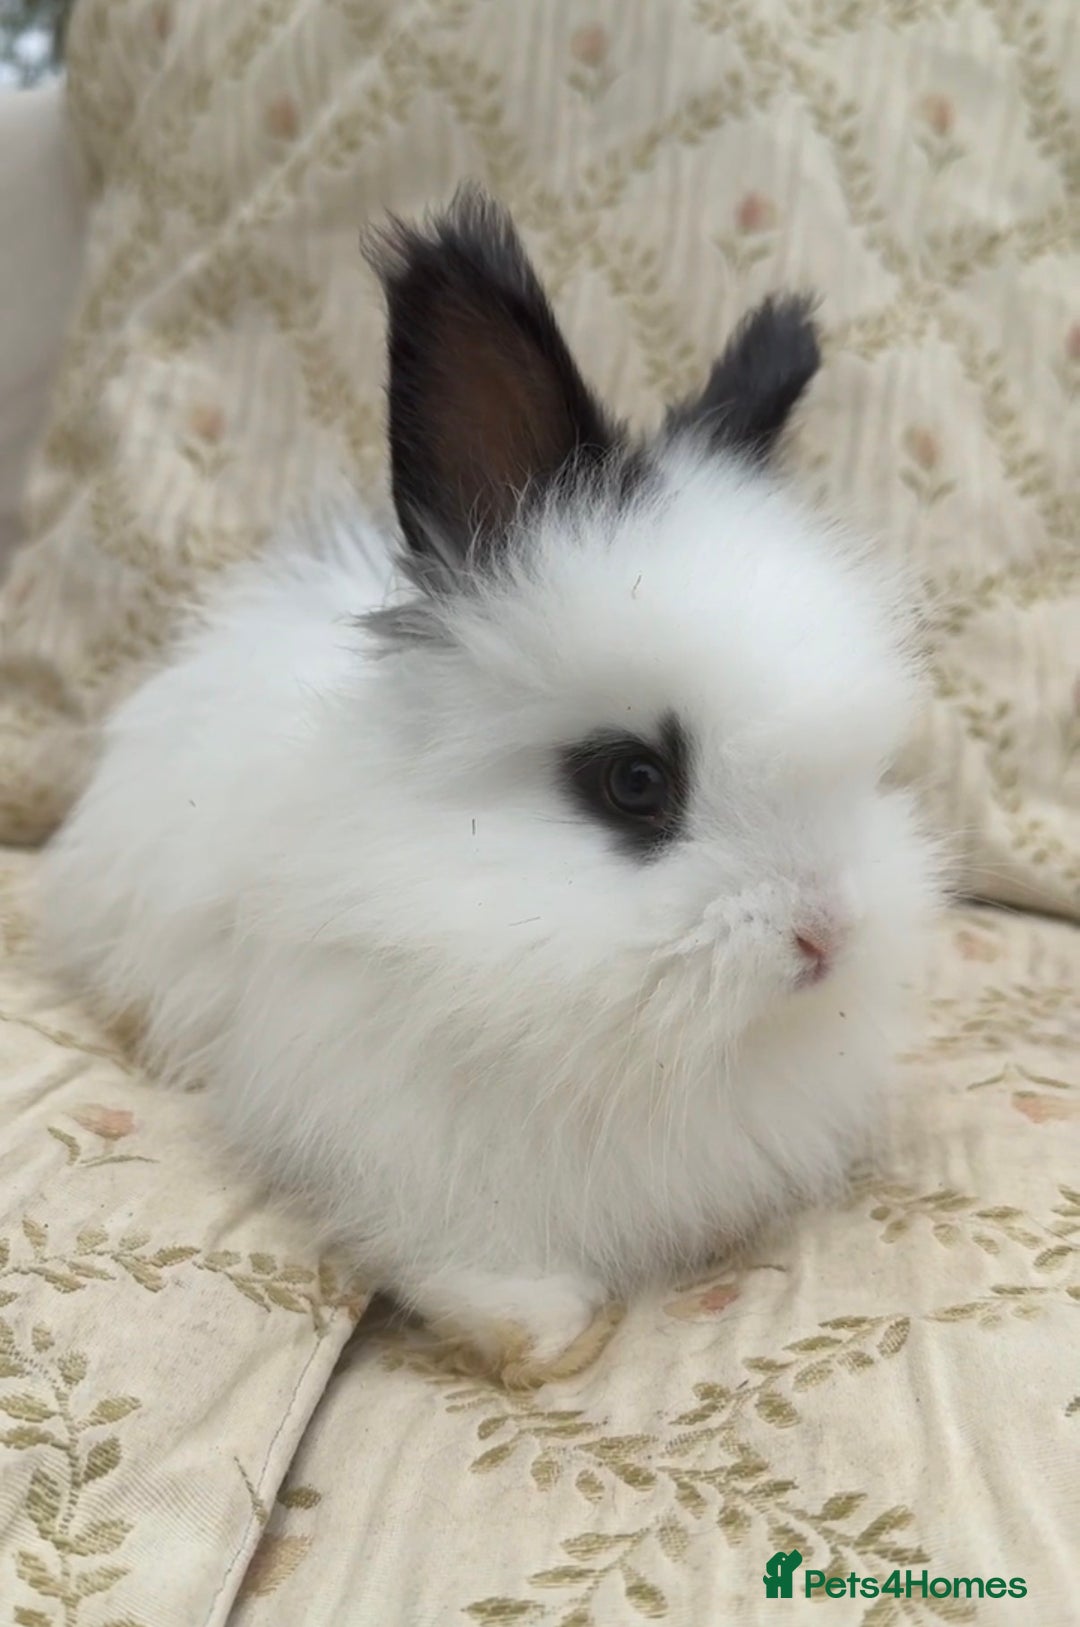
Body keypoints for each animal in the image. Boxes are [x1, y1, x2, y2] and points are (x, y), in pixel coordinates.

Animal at [40, 186, 940, 1387]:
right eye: (635, 781)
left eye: (869, 766)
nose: (826, 936)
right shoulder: (393, 1123)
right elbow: (465, 1250)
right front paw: (540, 1331)